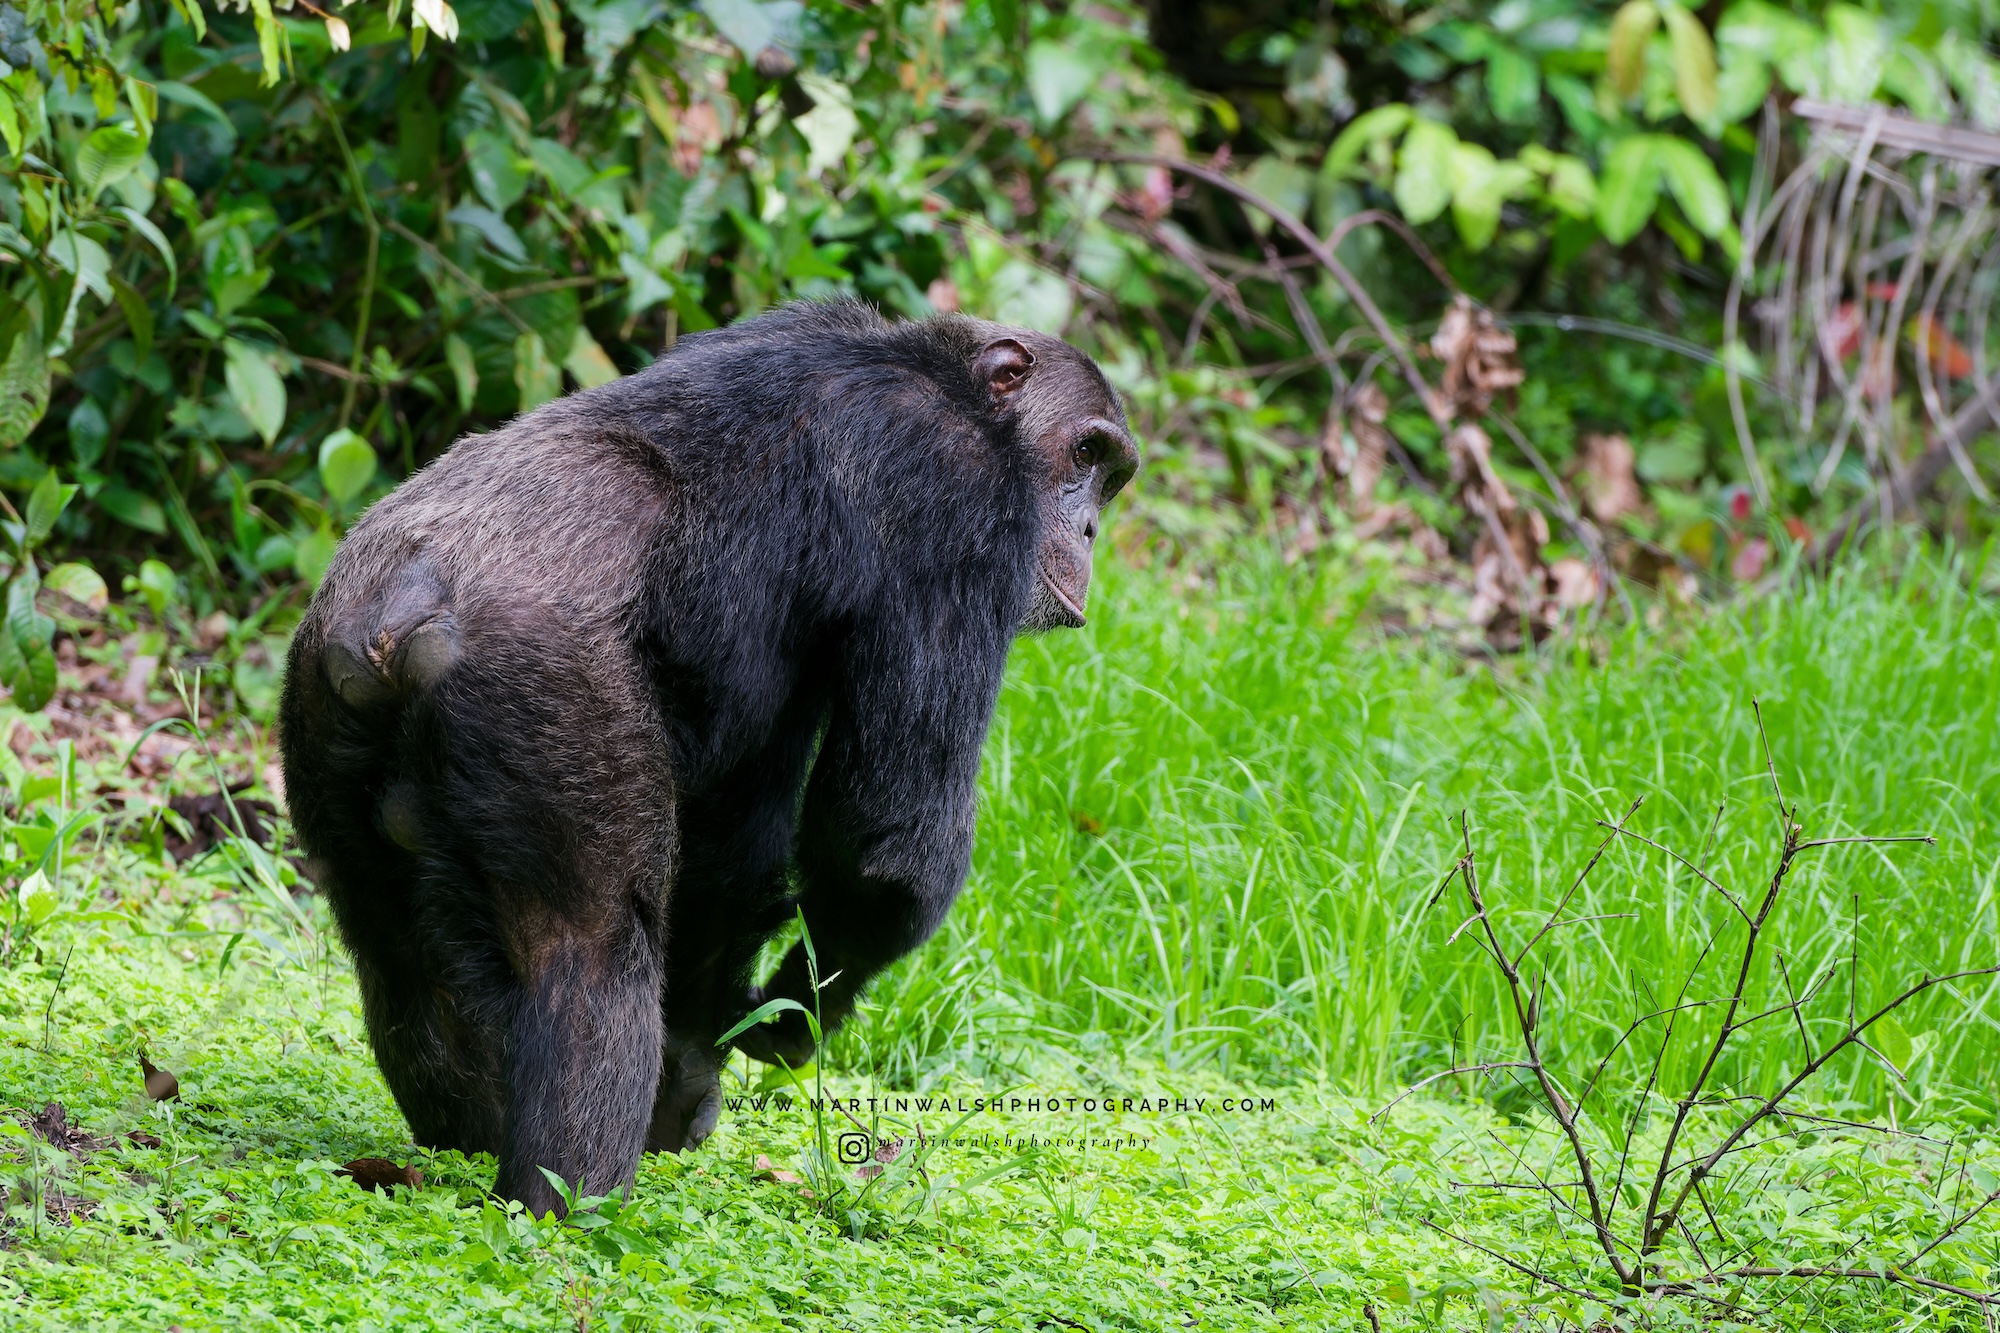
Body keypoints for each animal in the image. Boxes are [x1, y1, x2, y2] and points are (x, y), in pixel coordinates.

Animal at [278, 300, 1138, 1216]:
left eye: (1110, 476)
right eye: (1086, 456)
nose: (1089, 526)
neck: (945, 380)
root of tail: (397, 612)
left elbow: (737, 843)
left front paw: (703, 1058)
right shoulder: (960, 499)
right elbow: (885, 837)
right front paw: (789, 1020)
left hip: (321, 716)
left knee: (394, 952)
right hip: (544, 693)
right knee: (591, 950)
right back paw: (568, 1202)